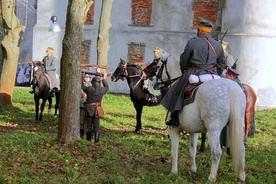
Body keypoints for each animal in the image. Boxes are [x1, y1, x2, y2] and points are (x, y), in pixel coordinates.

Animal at [154, 48, 247, 183]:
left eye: (159, 66)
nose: (155, 84)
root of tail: (230, 87)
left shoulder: (173, 130)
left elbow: (174, 150)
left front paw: (173, 172)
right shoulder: (193, 131)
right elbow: (192, 150)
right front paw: (193, 170)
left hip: (214, 130)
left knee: (216, 152)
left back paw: (211, 178)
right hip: (238, 126)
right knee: (241, 149)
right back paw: (241, 176)